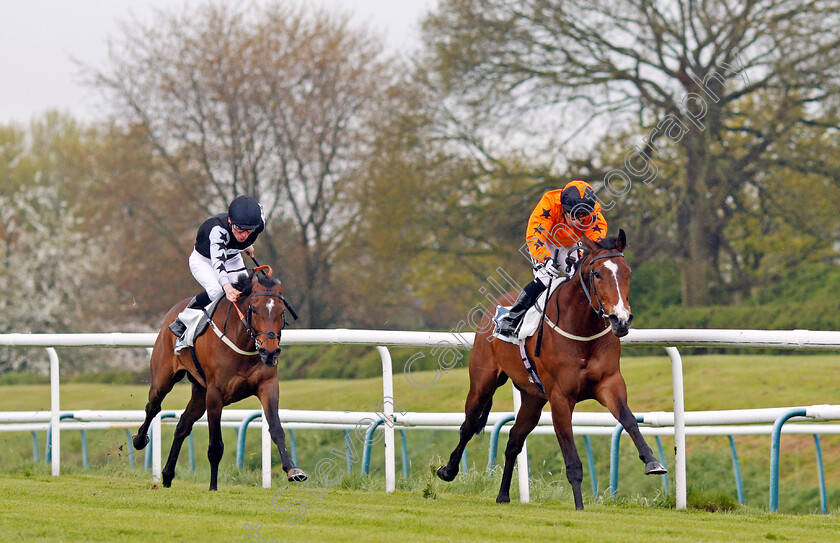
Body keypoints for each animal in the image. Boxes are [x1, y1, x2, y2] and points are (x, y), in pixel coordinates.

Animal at [128, 268, 306, 492]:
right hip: (164, 378)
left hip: (199, 392)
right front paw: (213, 486)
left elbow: (276, 429)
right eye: (254, 309)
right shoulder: (215, 394)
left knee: (182, 426)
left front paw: (293, 470)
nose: (270, 352)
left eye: (281, 311)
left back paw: (167, 476)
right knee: (153, 407)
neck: (243, 341)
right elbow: (215, 445)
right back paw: (139, 440)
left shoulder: (267, 385)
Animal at [436, 231, 668, 510]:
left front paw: (652, 461)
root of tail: (496, 306)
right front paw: (579, 507)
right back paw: (448, 471)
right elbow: (571, 458)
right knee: (468, 425)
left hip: (533, 398)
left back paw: (503, 495)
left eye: (627, 272)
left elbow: (629, 420)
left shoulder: (609, 384)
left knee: (514, 440)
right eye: (597, 274)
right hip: (483, 382)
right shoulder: (560, 397)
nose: (620, 319)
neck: (582, 331)